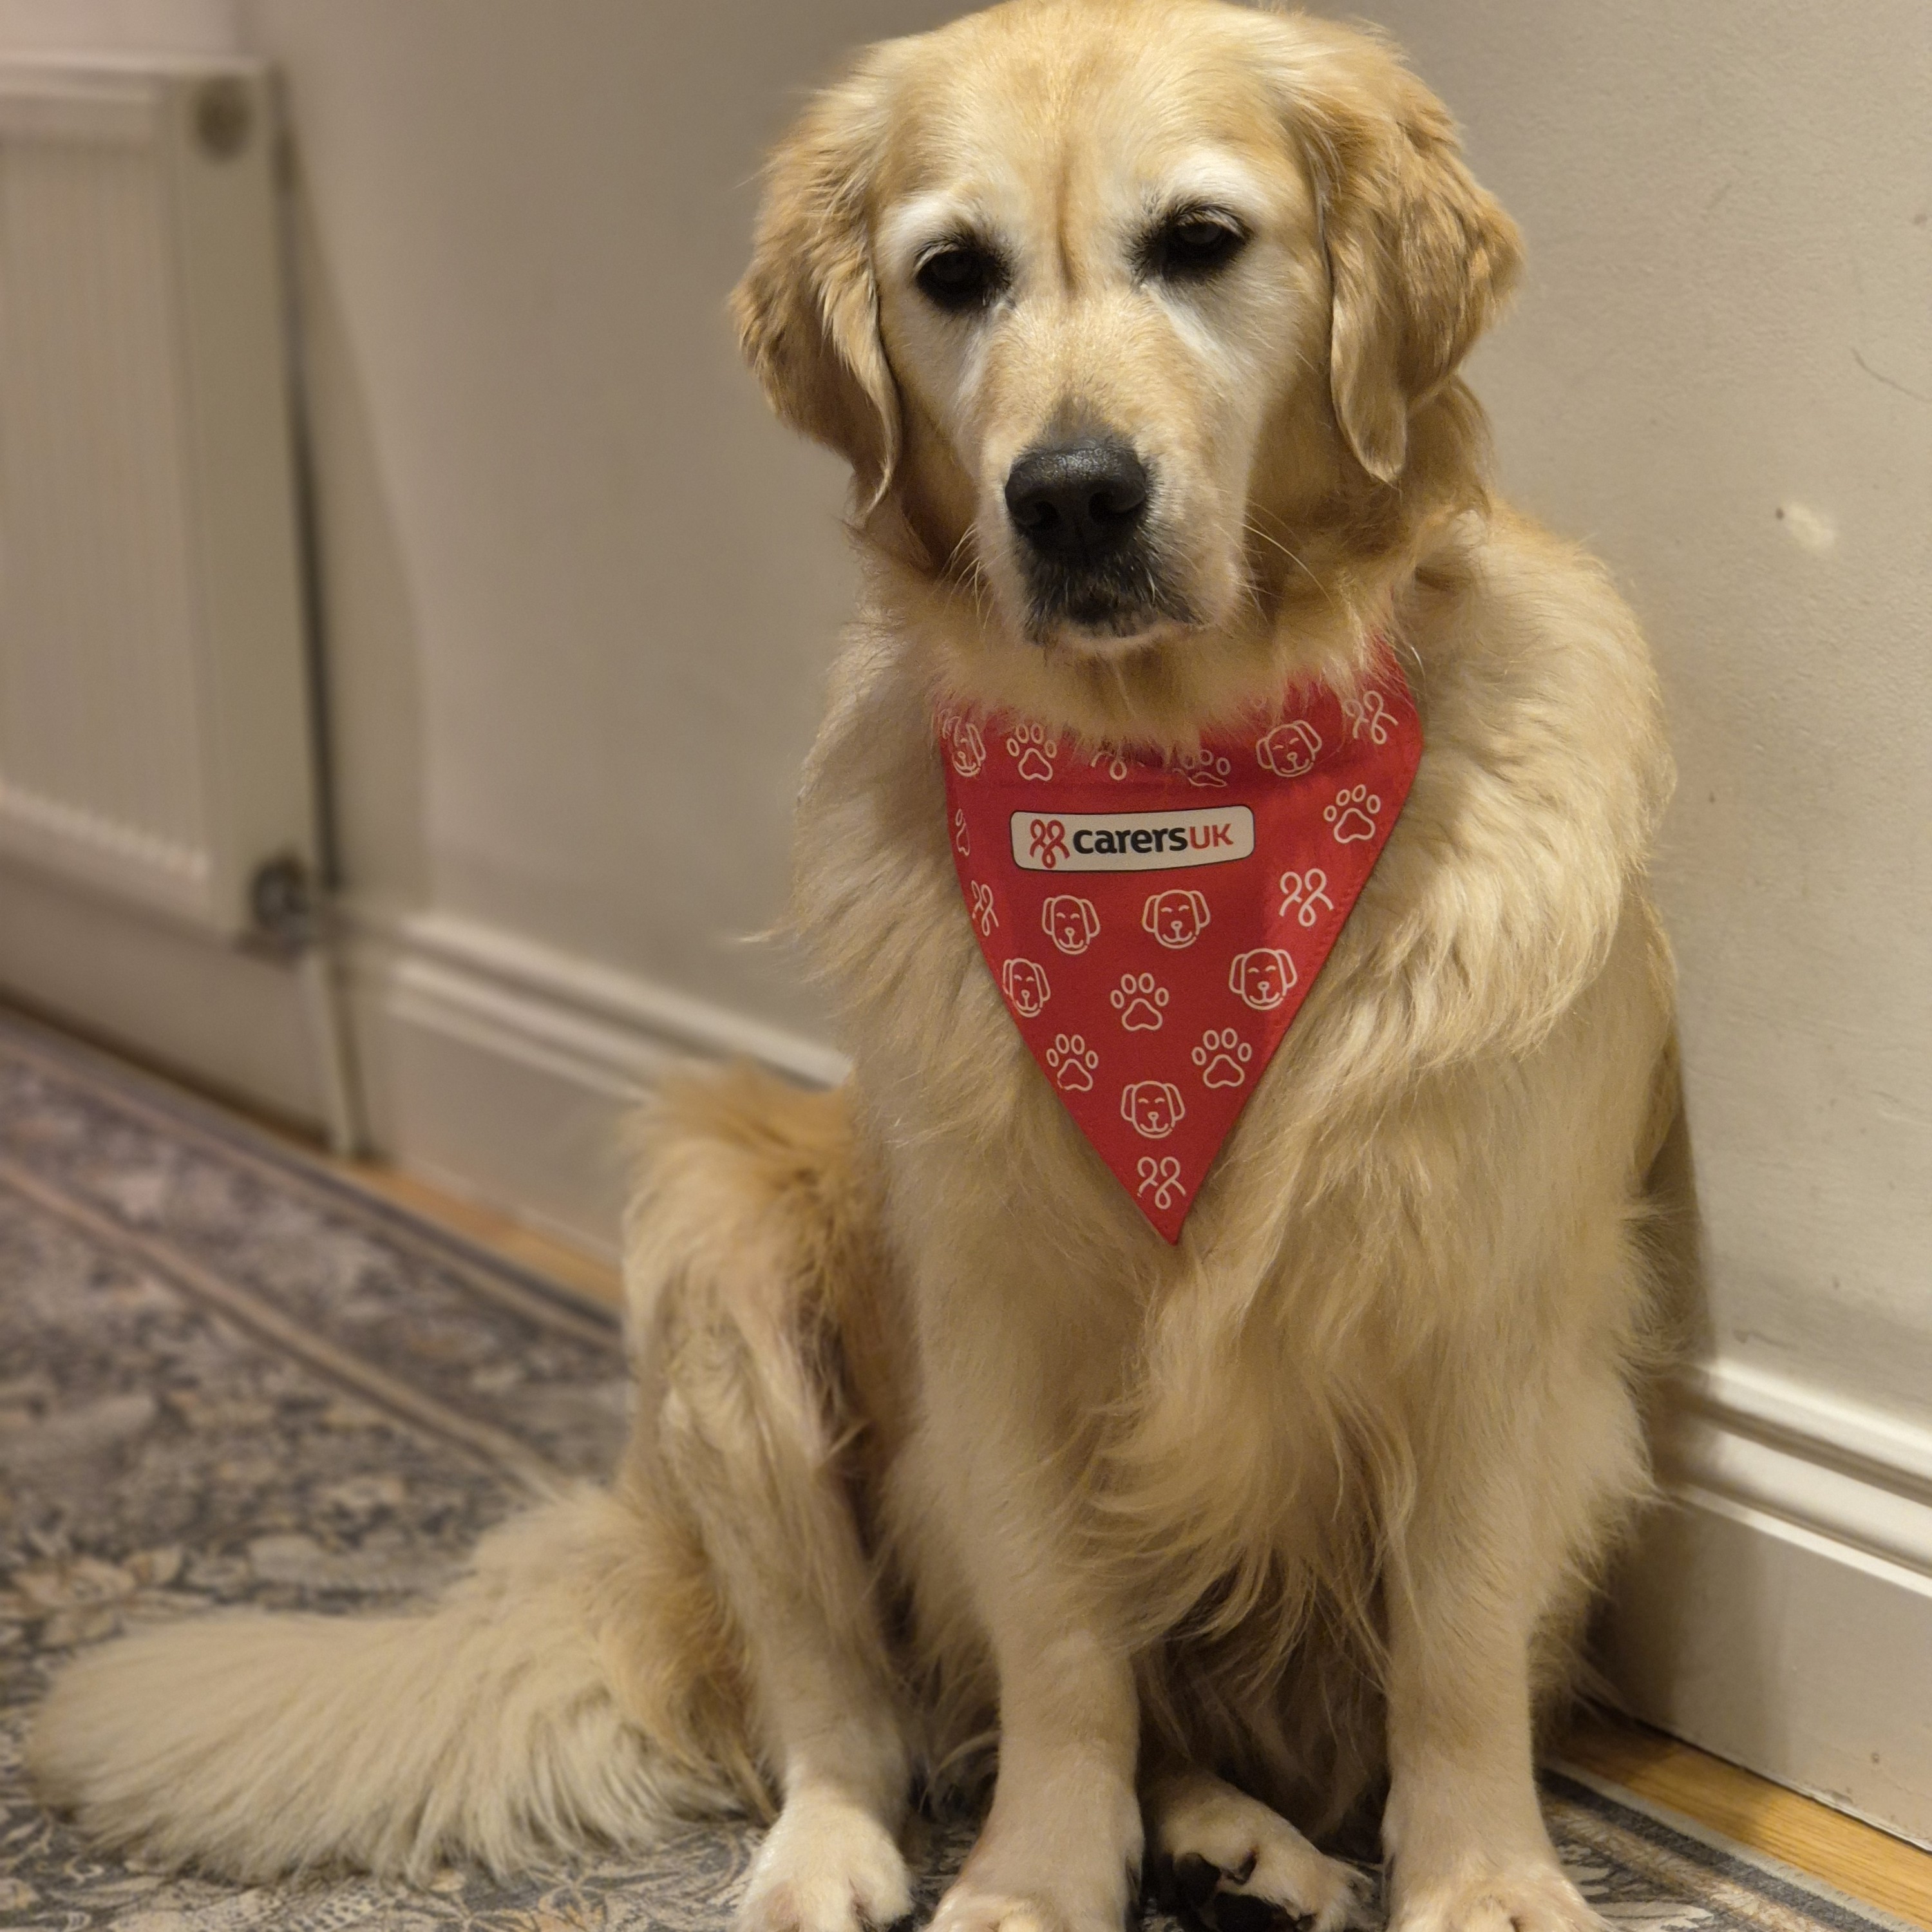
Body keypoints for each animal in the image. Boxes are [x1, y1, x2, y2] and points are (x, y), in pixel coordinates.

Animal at [26, 3, 1677, 1932]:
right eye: (951, 274)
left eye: (1201, 241)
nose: (1073, 499)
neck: (1172, 790)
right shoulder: (994, 1320)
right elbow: (1059, 1654)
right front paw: (1035, 1878)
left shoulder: (1493, 1307)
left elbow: (1457, 1644)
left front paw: (1484, 1873)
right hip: (721, 1254)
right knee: (843, 1708)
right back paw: (834, 1860)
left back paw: (1244, 1841)